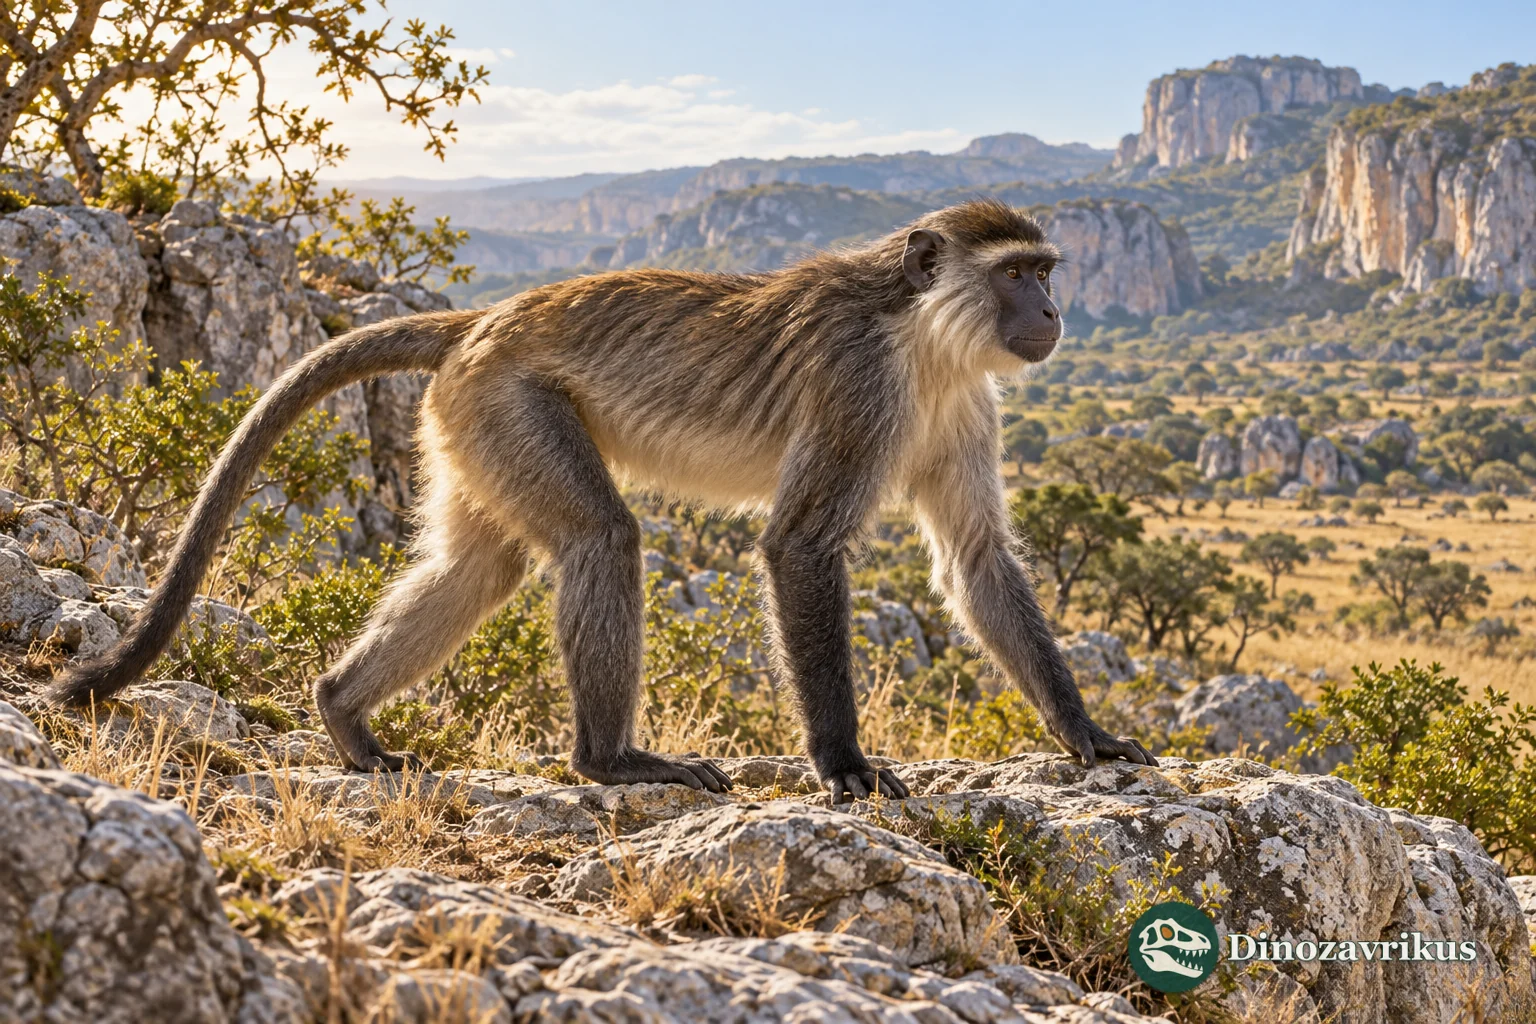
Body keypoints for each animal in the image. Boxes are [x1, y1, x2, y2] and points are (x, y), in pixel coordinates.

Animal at [53, 199, 1156, 802]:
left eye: (1045, 271)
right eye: (1018, 274)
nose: (1053, 310)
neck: (923, 335)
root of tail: (483, 319)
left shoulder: (966, 404)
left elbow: (974, 561)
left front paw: (1086, 734)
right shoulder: (860, 381)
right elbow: (800, 546)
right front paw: (841, 760)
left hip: (470, 419)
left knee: (480, 563)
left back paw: (344, 712)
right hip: (507, 396)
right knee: (598, 538)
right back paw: (610, 760)